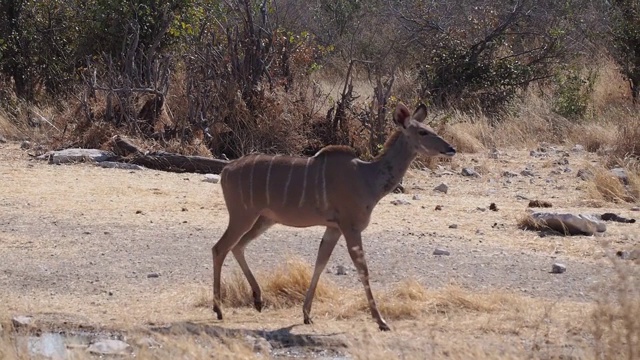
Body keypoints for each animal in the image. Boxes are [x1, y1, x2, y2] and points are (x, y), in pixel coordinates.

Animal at [214, 102, 456, 330]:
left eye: (431, 129)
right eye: (422, 132)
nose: (451, 149)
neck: (367, 177)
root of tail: (226, 170)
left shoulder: (333, 228)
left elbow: (320, 262)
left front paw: (307, 315)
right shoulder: (351, 227)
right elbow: (362, 269)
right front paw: (381, 321)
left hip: (264, 219)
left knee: (237, 246)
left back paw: (257, 300)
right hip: (242, 215)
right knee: (220, 247)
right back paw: (218, 309)